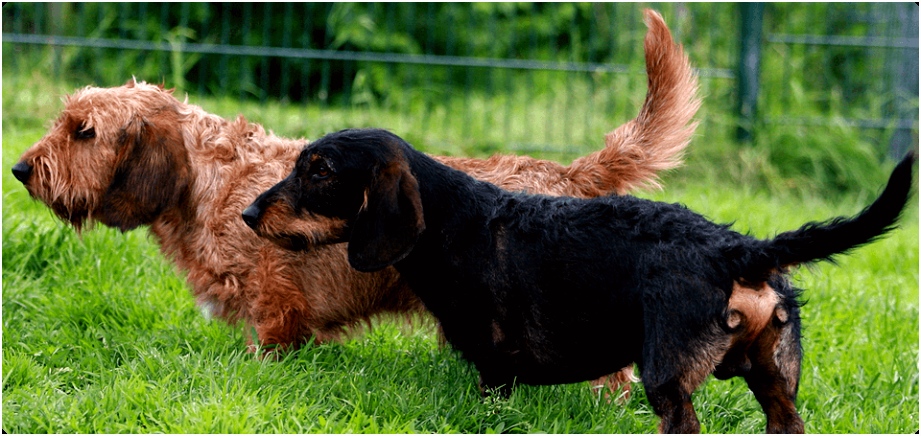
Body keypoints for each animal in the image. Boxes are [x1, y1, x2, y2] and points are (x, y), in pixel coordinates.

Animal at [10, 8, 696, 396]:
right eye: (65, 123)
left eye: (83, 131)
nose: (18, 170)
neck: (215, 182)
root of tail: (569, 175)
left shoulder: (276, 312)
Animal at [244, 129, 912, 432]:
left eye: (319, 169)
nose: (248, 214)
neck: (452, 220)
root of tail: (735, 248)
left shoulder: (493, 367)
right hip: (778, 385)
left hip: (668, 381)